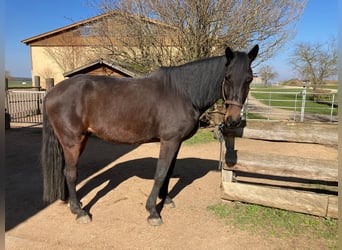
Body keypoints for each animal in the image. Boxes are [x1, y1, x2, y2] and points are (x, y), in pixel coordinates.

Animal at [41, 45, 258, 227]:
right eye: (227, 77)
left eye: (249, 79)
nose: (233, 120)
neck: (183, 92)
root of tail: (52, 92)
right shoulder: (169, 141)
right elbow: (161, 172)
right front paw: (153, 211)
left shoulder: (176, 142)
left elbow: (169, 172)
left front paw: (166, 199)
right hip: (73, 141)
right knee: (71, 173)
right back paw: (79, 211)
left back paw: (72, 202)